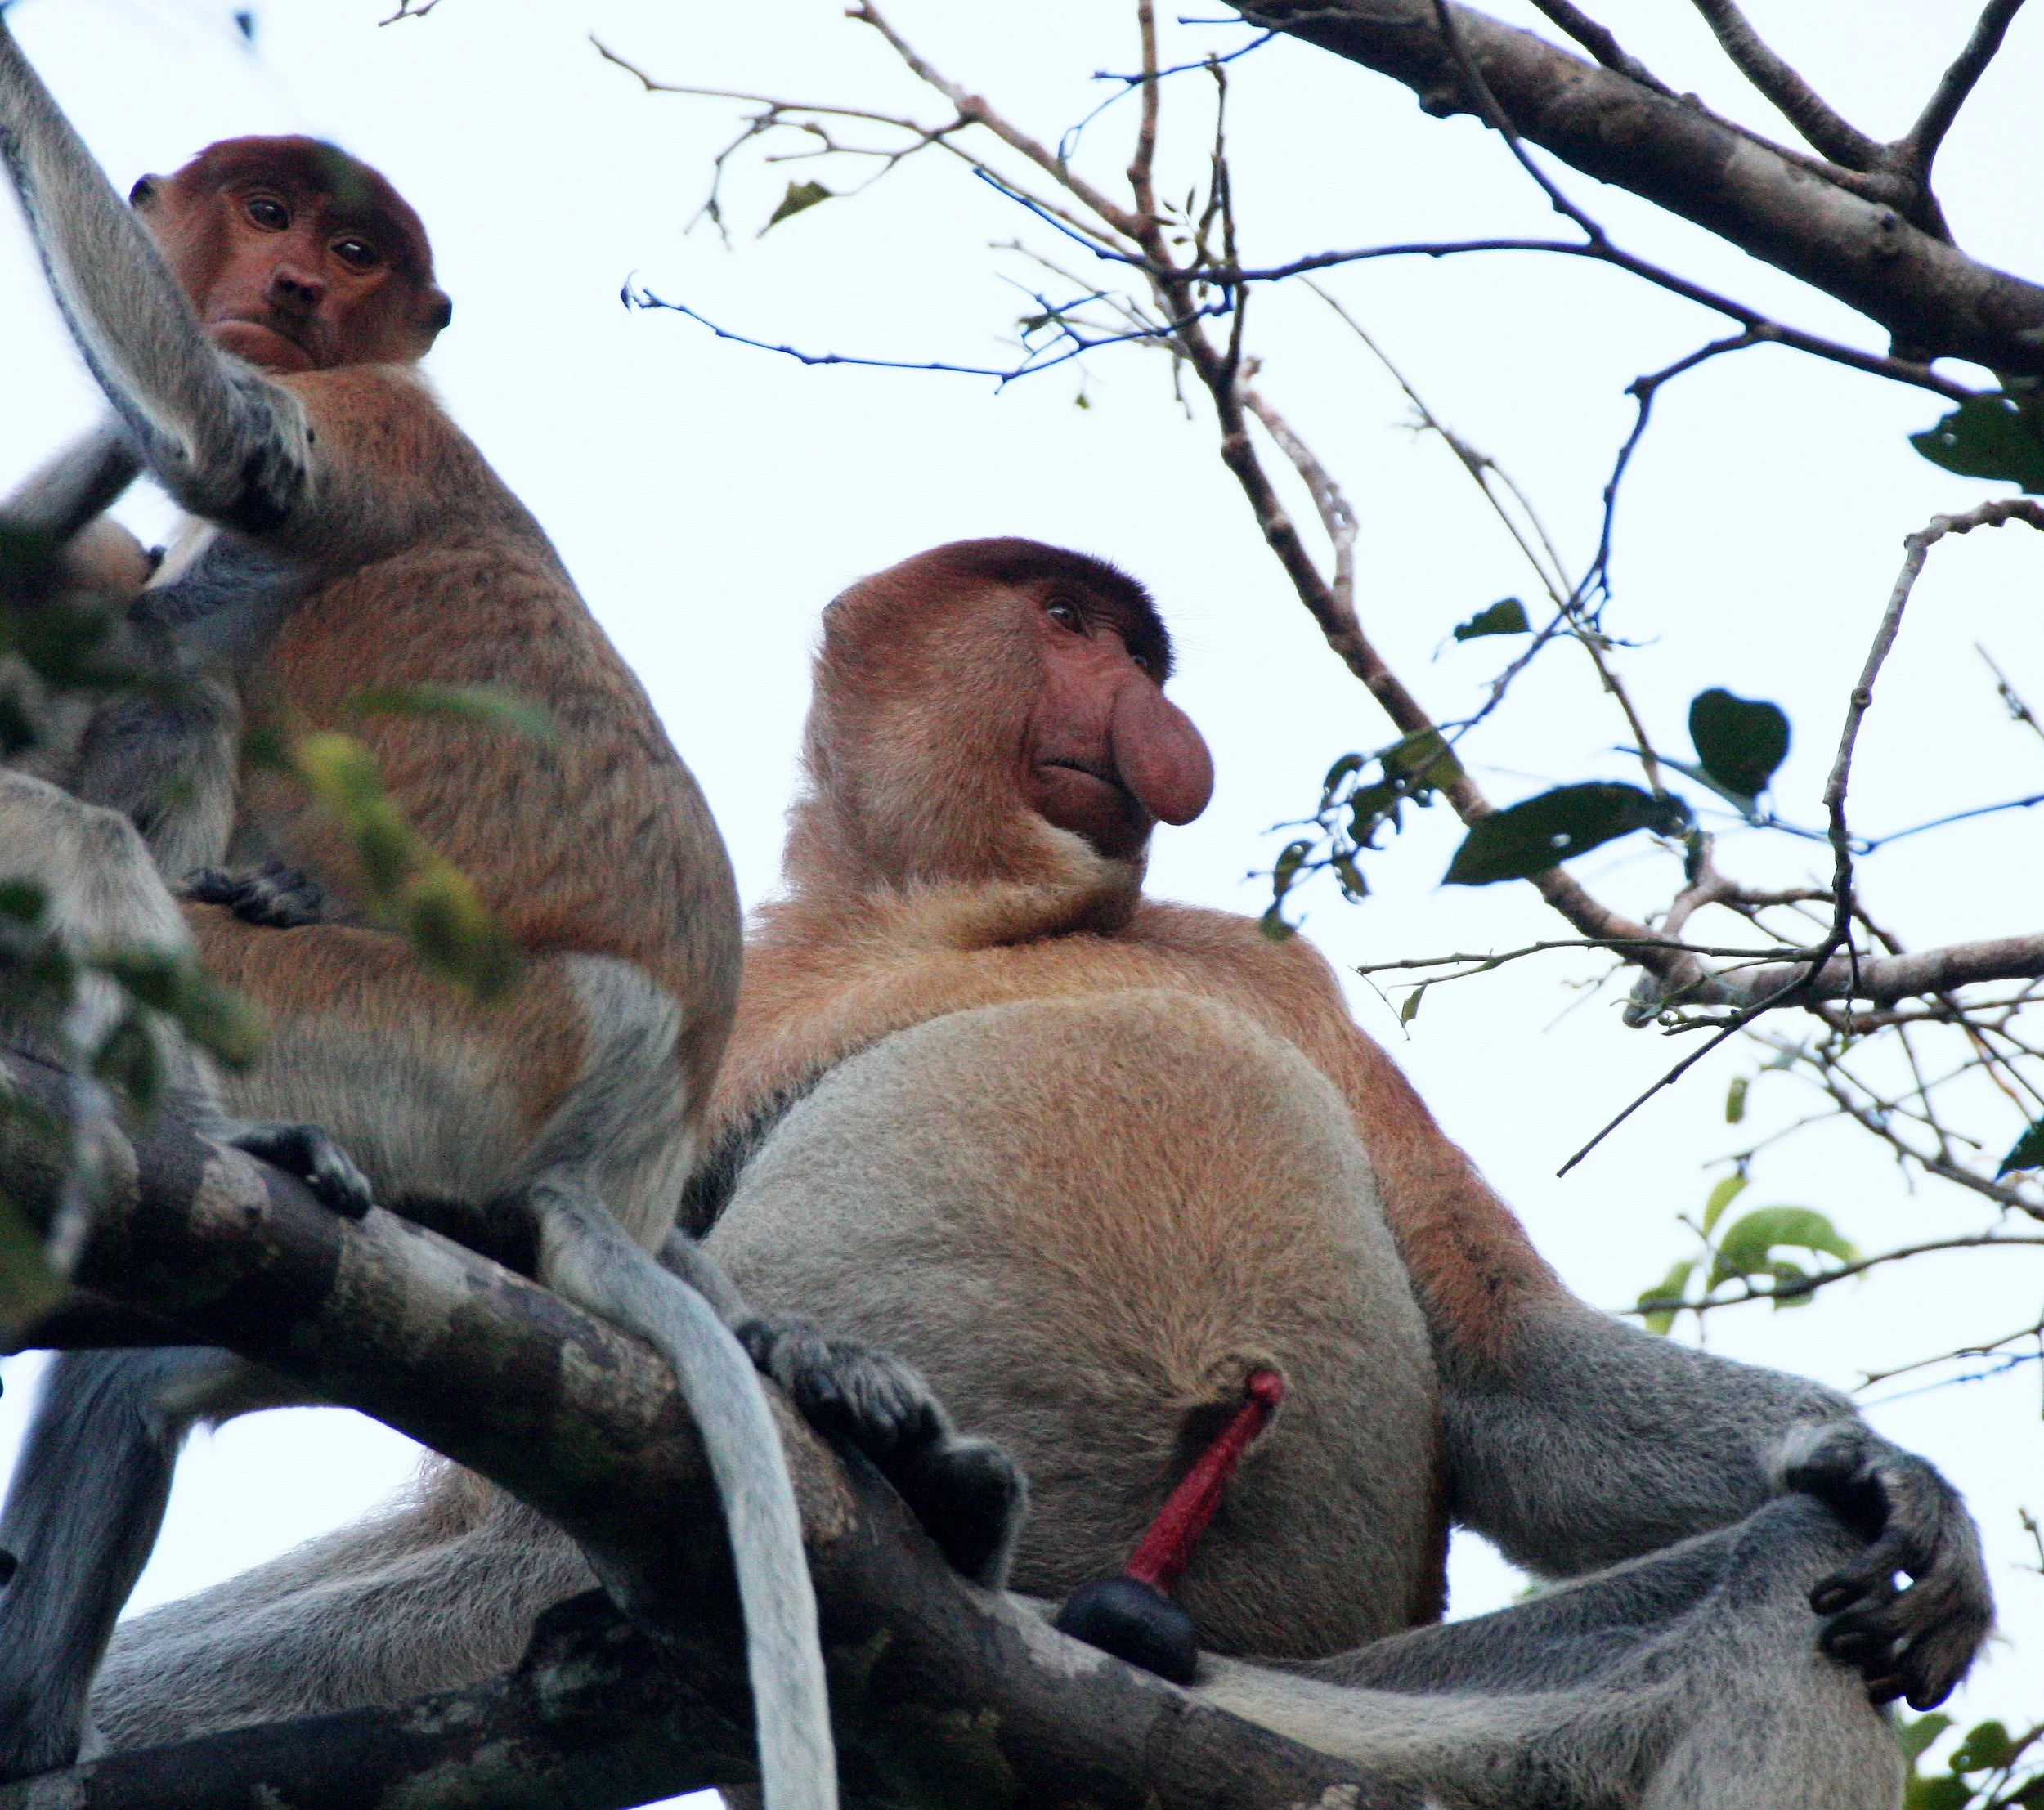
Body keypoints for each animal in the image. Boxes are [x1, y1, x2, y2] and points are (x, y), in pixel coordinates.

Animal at [0, 36, 1021, 1802]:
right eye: (265, 211)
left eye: (351, 250)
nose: (285, 287)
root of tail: (623, 1128)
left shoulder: (382, 420)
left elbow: (229, 447)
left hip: (424, 1039)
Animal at [70, 538, 1992, 1810]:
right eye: (1064, 621)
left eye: (1136, 643)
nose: (1149, 709)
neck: (970, 908)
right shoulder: (737, 988)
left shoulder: (1275, 982)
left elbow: (1505, 1362)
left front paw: (1898, 1488)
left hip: (1286, 1716)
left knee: (1780, 1600)